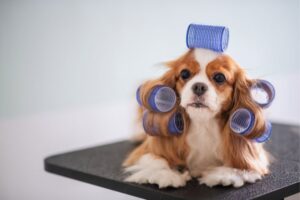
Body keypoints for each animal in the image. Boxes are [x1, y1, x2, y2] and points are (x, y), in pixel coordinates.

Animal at [122, 47, 270, 188]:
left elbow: (241, 164)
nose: (199, 86)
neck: (202, 124)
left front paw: (225, 175)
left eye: (219, 77)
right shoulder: (142, 153)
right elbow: (157, 160)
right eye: (184, 73)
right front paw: (167, 175)